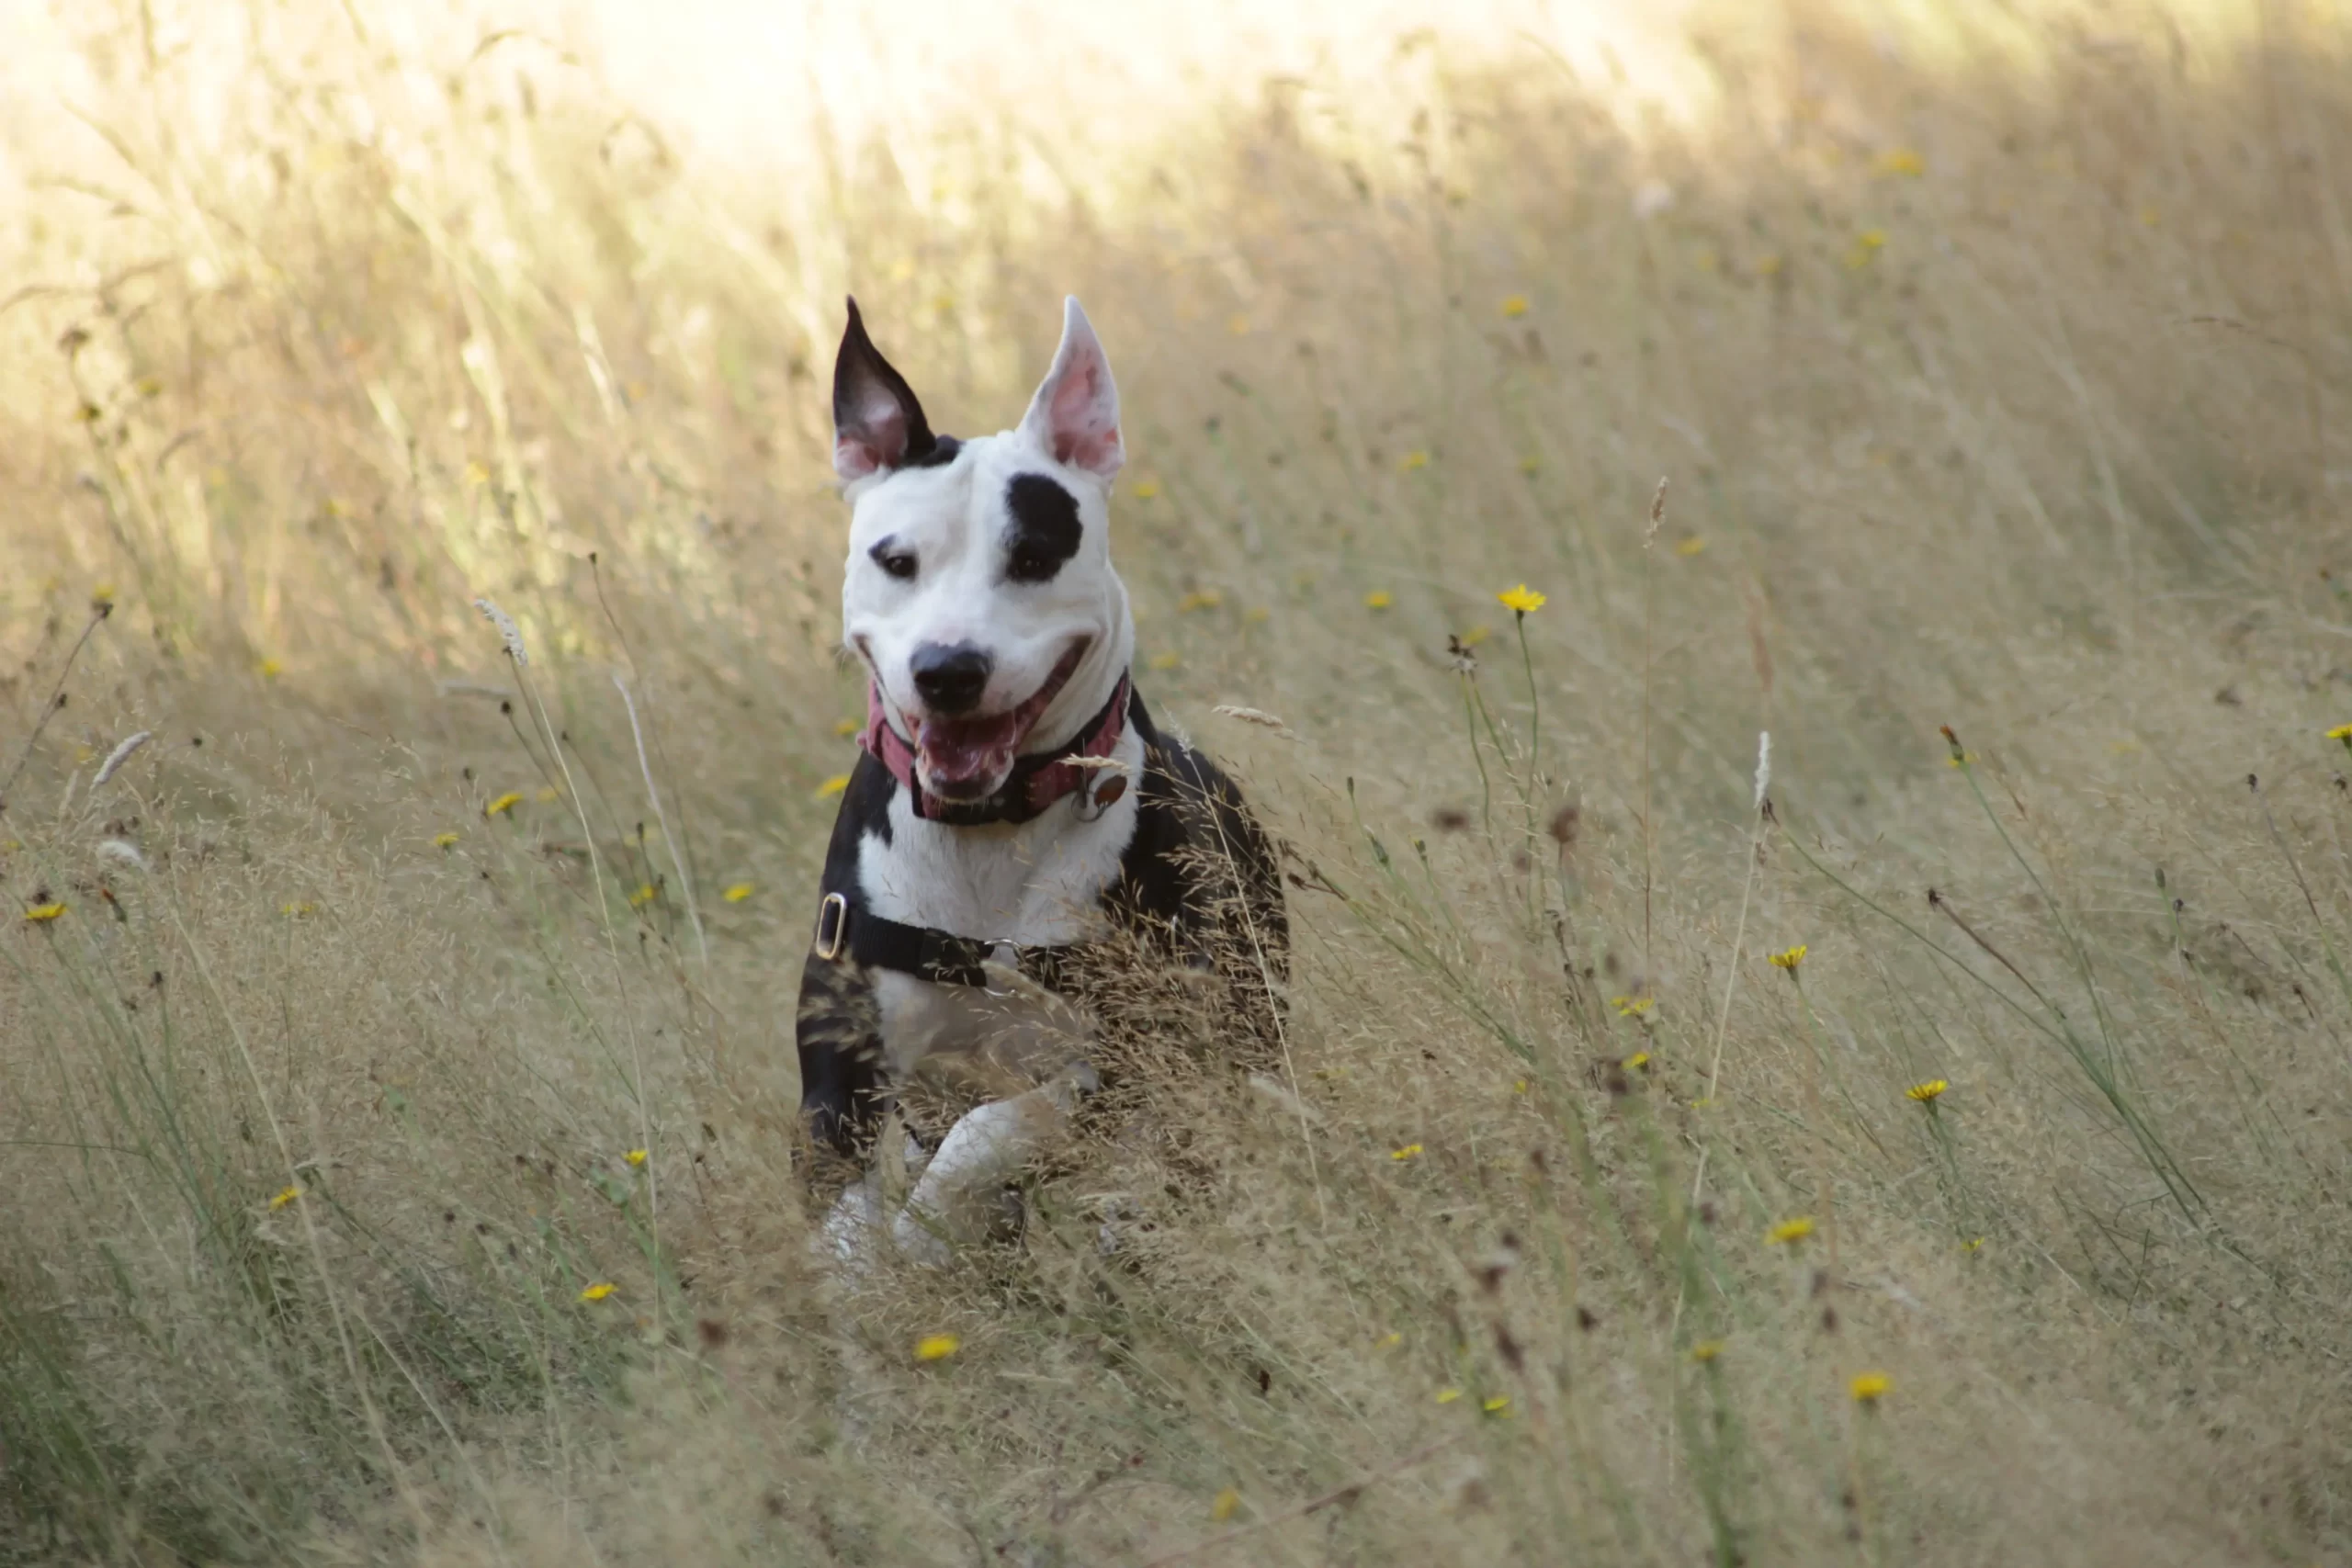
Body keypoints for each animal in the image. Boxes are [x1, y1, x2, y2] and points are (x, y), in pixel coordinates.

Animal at [804, 293, 1288, 1269]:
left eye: (1032, 557)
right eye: (895, 560)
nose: (949, 669)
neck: (986, 829)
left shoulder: (1139, 1051)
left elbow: (993, 1126)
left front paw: (929, 1234)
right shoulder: (840, 1071)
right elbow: (843, 1227)